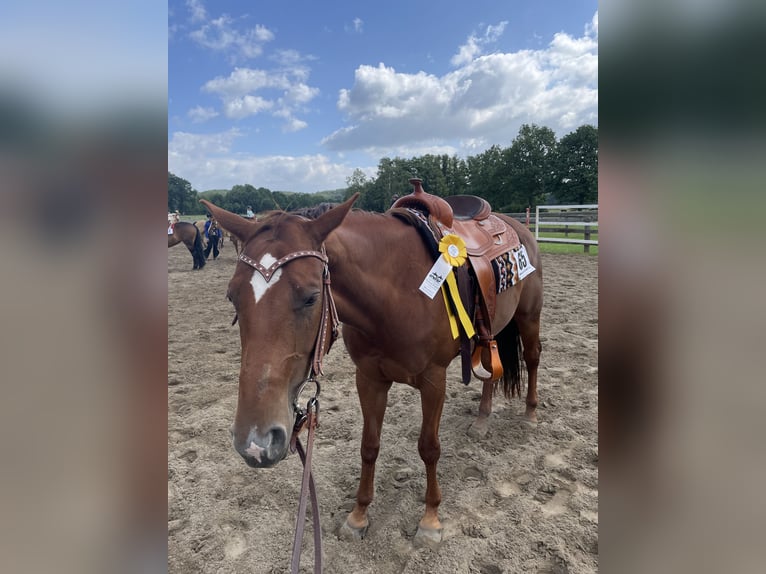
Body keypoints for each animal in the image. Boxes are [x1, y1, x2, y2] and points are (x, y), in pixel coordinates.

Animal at [200, 189, 543, 549]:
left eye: (311, 297)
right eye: (232, 297)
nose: (255, 441)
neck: (396, 294)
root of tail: (517, 225)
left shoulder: (434, 380)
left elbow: (429, 448)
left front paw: (430, 518)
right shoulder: (369, 379)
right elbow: (369, 446)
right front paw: (358, 515)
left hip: (529, 316)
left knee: (533, 358)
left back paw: (531, 414)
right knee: (492, 371)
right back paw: (482, 419)